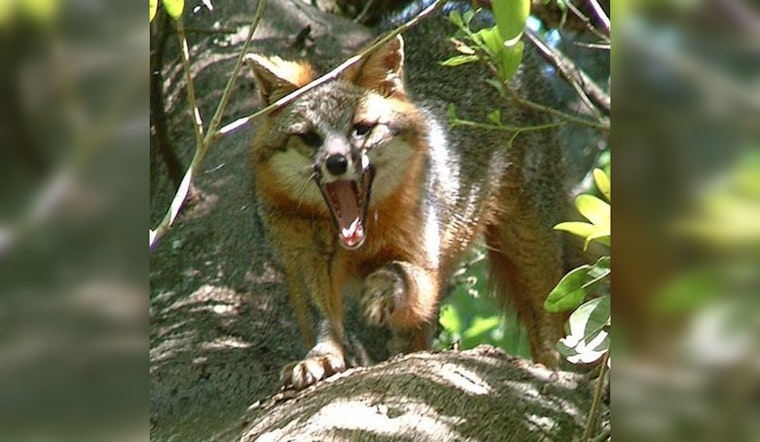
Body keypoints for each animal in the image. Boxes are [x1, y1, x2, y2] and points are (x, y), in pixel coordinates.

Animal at [247, 21, 571, 390]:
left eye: (361, 130)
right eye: (309, 138)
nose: (337, 162)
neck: (363, 241)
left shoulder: (422, 262)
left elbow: (398, 273)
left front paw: (381, 290)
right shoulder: (303, 259)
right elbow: (323, 318)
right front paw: (320, 357)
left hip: (528, 244)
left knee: (549, 325)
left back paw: (550, 371)